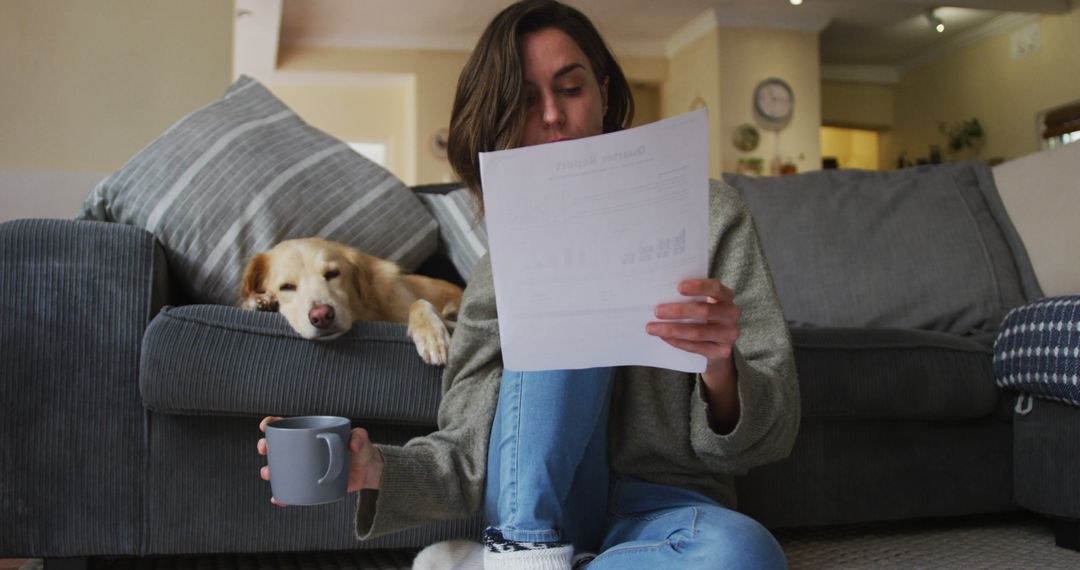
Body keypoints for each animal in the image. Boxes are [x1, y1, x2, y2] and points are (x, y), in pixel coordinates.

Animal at [240, 237, 460, 364]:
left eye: (332, 274)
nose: (322, 316)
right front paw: (259, 302)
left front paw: (431, 335)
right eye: (286, 287)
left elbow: (419, 303)